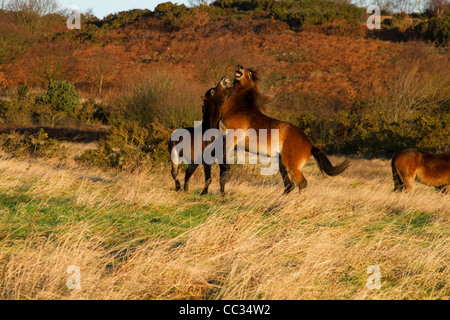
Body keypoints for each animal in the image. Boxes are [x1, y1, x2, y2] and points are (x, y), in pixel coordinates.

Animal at [213, 64, 350, 194]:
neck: (238, 108)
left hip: (291, 165)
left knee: (301, 183)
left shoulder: (232, 138)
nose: (239, 67)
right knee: (289, 185)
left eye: (250, 73)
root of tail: (310, 144)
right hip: (282, 164)